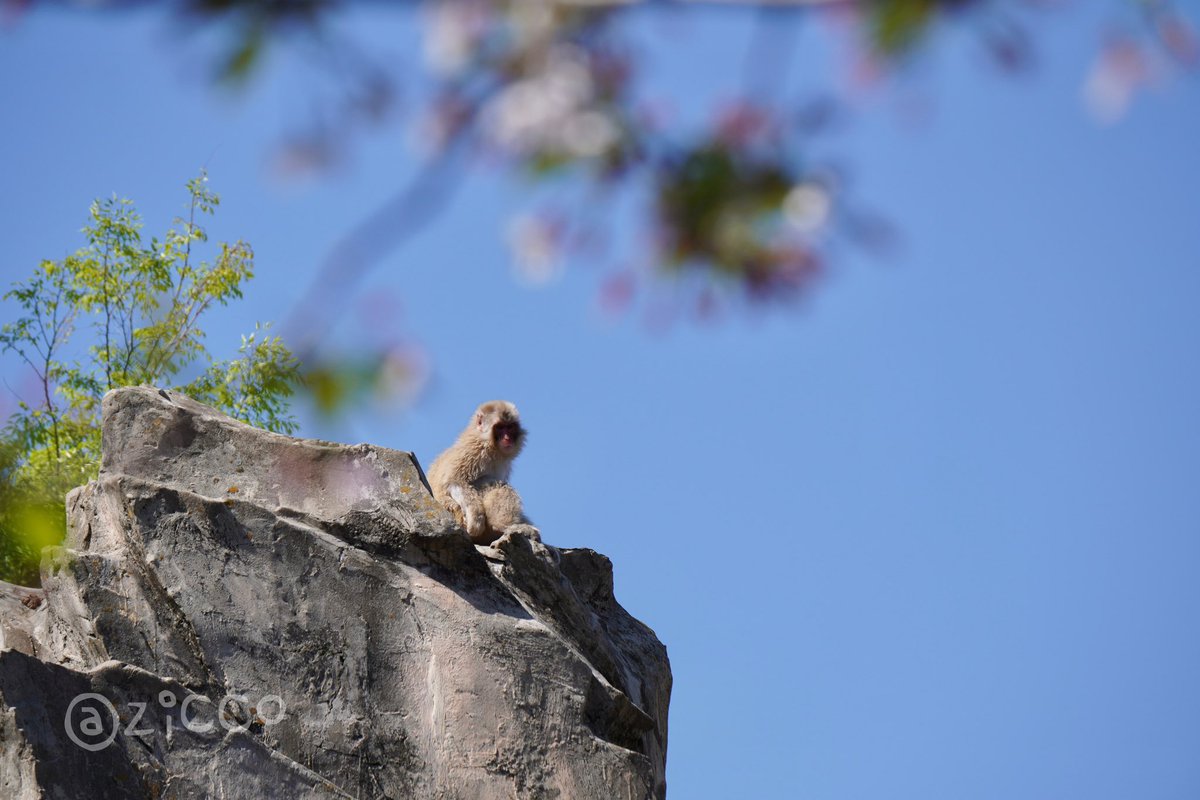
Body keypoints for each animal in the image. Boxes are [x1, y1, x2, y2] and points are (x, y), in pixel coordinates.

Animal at [427, 398, 540, 544]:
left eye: (510, 427)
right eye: (500, 427)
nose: (507, 438)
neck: (492, 447)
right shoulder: (474, 450)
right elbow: (454, 481)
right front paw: (476, 520)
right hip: (458, 516)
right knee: (493, 483)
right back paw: (504, 525)